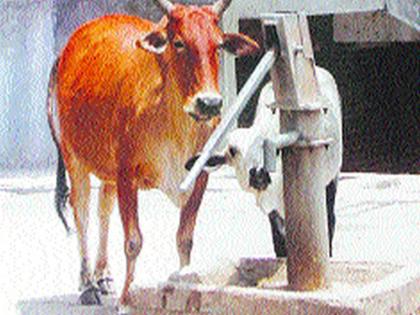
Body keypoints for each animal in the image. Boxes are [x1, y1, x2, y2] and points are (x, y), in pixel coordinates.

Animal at [46, 0, 260, 308]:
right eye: (179, 42)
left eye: (218, 45)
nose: (209, 103)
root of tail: (66, 50)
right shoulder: (126, 175)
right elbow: (133, 241)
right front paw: (126, 299)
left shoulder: (200, 176)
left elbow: (185, 238)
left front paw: (184, 285)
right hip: (74, 158)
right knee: (81, 213)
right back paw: (87, 284)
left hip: (107, 170)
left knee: (103, 209)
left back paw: (103, 275)